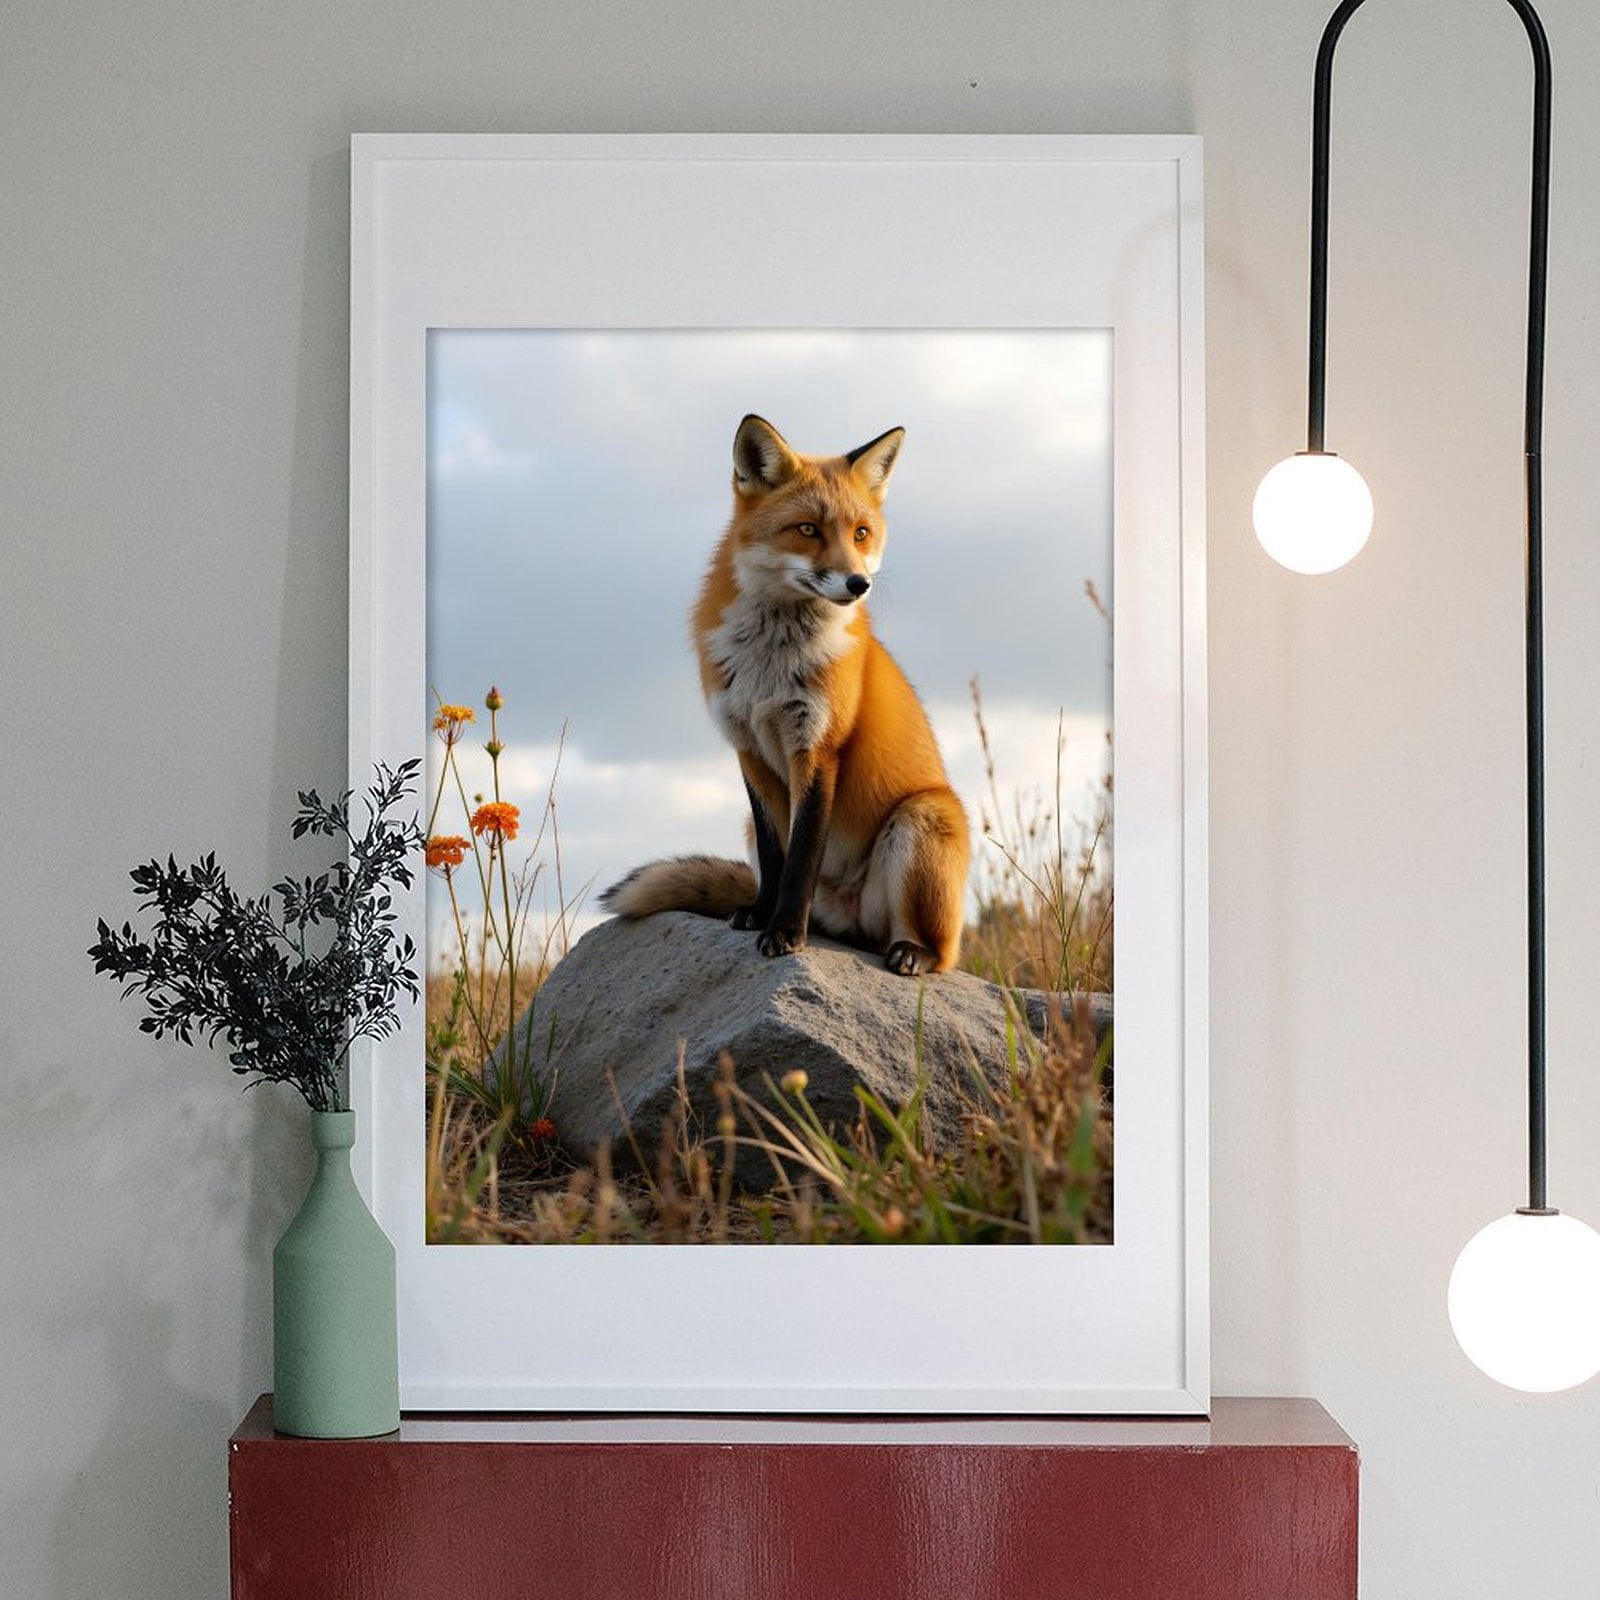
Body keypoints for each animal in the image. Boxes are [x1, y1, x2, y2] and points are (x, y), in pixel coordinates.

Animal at [600, 414, 970, 976]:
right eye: (808, 529)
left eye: (861, 533)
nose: (858, 584)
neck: (767, 670)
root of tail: (847, 921)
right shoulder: (749, 748)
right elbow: (779, 858)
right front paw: (761, 915)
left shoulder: (817, 746)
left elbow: (802, 858)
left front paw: (785, 932)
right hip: (755, 832)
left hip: (923, 816)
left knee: (941, 950)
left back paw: (910, 950)